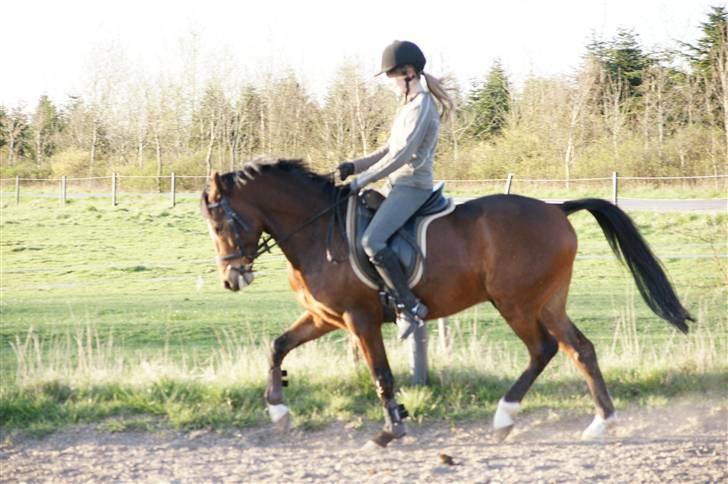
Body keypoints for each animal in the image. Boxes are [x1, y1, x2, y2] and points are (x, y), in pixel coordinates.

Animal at [200, 158, 692, 447]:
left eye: (221, 221)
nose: (231, 278)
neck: (318, 231)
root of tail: (556, 208)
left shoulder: (360, 319)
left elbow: (381, 373)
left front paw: (391, 429)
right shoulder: (325, 317)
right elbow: (277, 346)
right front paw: (278, 410)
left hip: (516, 302)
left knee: (544, 350)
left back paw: (504, 417)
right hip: (548, 301)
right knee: (580, 349)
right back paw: (601, 422)